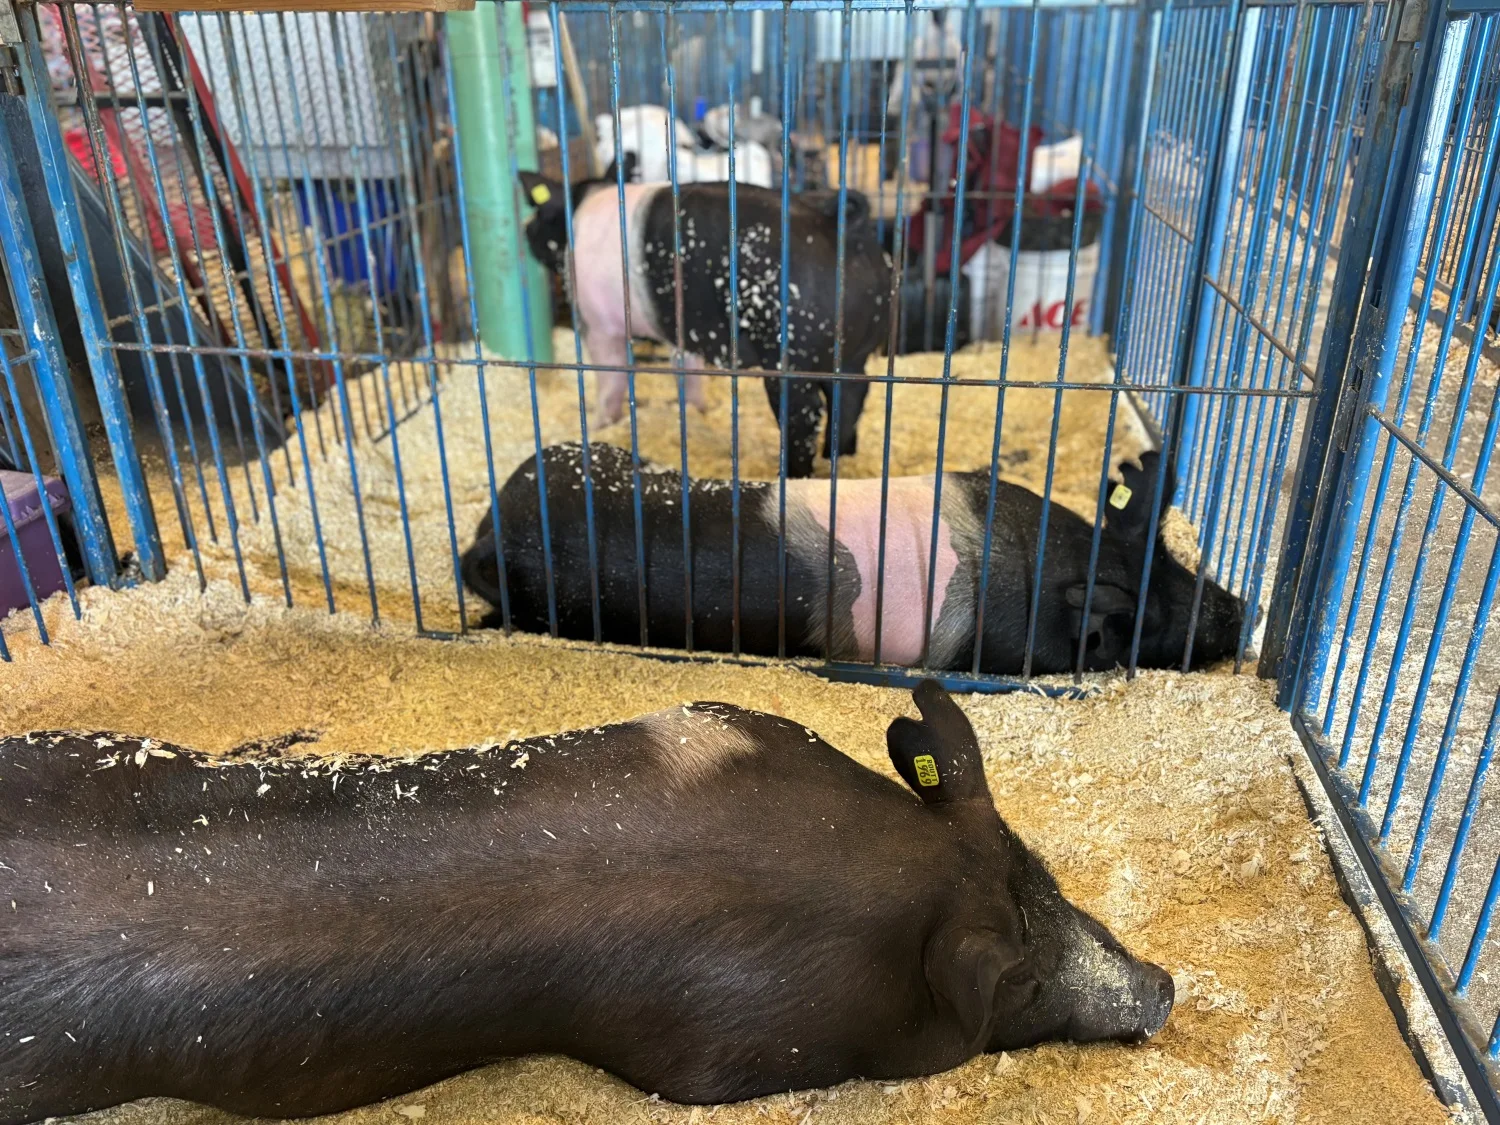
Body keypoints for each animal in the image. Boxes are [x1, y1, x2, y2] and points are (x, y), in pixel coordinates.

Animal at [516, 167, 888, 480]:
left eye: (540, 215)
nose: (525, 227)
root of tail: (842, 227)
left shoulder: (600, 326)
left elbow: (610, 384)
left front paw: (598, 427)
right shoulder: (681, 334)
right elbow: (688, 373)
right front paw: (697, 412)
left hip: (791, 352)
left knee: (806, 412)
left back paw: (792, 476)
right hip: (853, 353)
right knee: (852, 393)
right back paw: (841, 459)